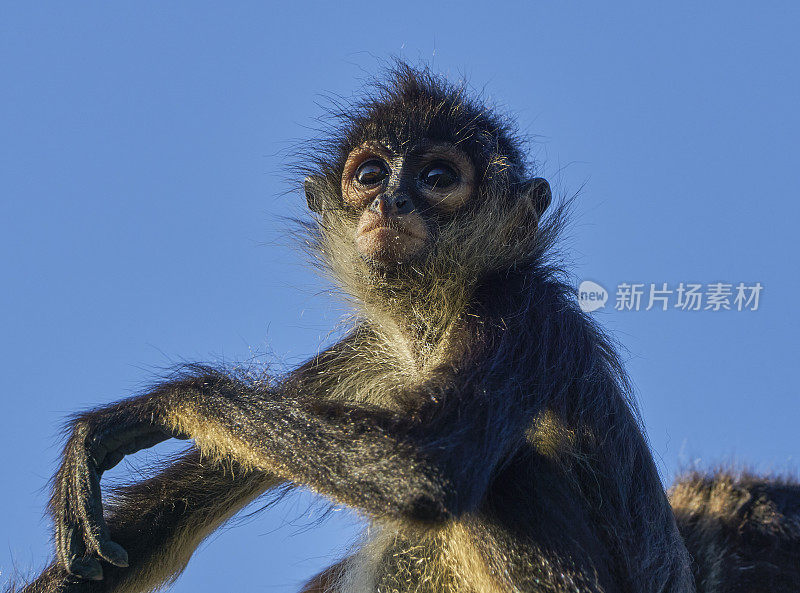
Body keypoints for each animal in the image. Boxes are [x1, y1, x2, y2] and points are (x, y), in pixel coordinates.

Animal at [7, 65, 800, 592]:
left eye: (438, 176)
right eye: (368, 174)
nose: (389, 202)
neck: (429, 328)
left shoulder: (523, 312)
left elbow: (428, 465)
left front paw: (160, 406)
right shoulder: (362, 358)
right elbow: (140, 541)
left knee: (504, 469)